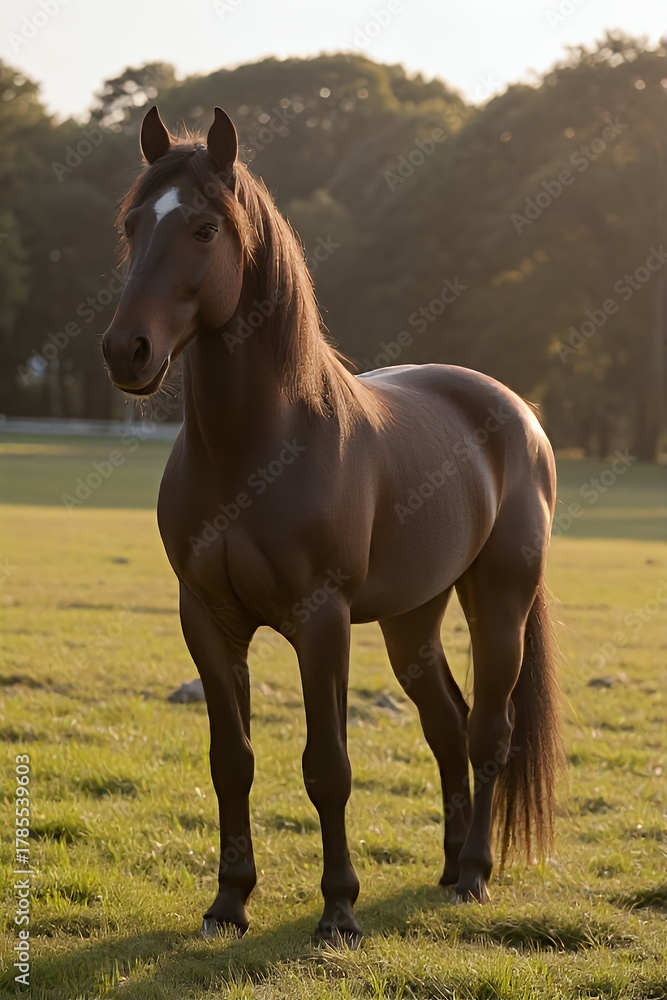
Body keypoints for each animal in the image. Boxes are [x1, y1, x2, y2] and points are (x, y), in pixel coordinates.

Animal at [101, 105, 562, 945]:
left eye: (205, 228)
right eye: (131, 225)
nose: (127, 350)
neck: (256, 446)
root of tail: (517, 411)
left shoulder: (322, 620)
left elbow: (328, 766)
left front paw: (339, 911)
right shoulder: (206, 618)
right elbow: (232, 760)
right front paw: (228, 903)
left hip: (500, 601)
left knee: (489, 731)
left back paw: (473, 874)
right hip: (414, 617)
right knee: (446, 724)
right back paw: (449, 861)